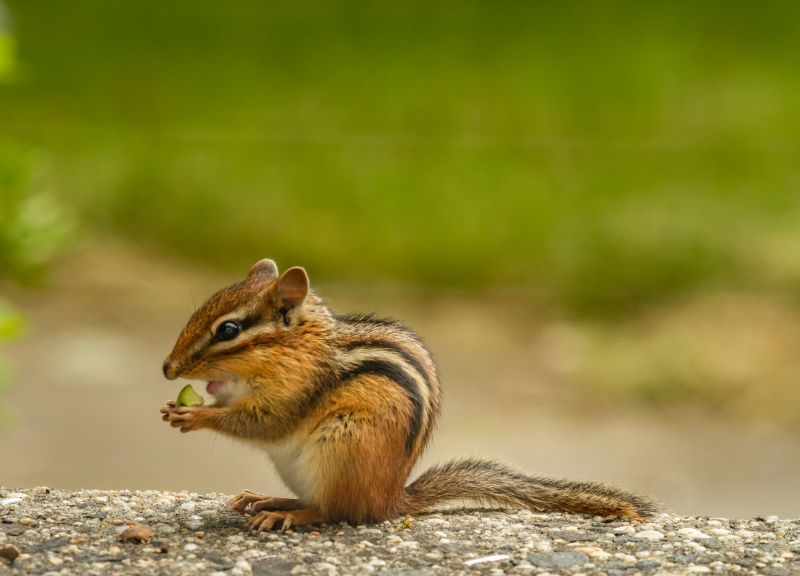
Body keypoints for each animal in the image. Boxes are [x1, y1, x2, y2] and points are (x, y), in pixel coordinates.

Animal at [160, 259, 656, 531]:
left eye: (228, 330)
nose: (167, 368)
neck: (294, 346)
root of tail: (392, 499)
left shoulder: (297, 388)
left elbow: (263, 422)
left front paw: (194, 415)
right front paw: (181, 403)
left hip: (341, 447)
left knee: (339, 511)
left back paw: (293, 514)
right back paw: (270, 499)